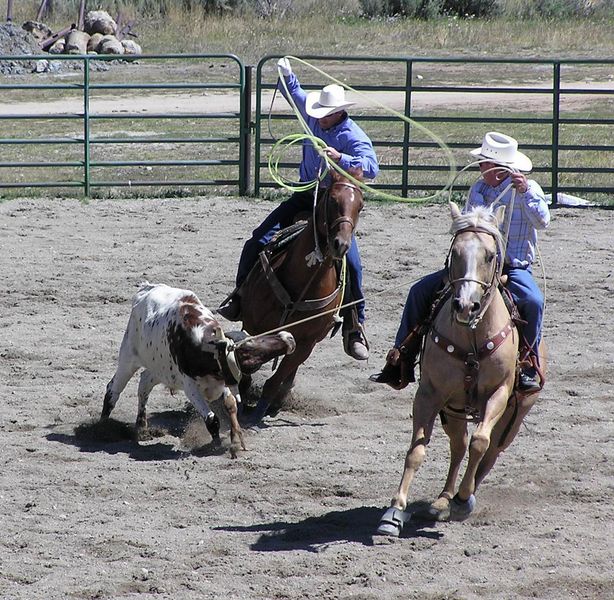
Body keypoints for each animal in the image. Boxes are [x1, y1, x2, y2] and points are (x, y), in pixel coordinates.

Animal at [103, 284, 296, 458]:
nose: (288, 337)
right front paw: (217, 445)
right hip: (128, 358)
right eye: (249, 347)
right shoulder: (190, 387)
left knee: (143, 385)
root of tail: (145, 289)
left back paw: (142, 428)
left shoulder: (222, 380)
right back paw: (103, 427)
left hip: (160, 370)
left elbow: (231, 405)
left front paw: (235, 438)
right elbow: (212, 419)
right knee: (113, 390)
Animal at [239, 166, 366, 420]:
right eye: (332, 200)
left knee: (289, 371)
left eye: (360, 206)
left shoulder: (307, 342)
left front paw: (260, 410)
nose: (341, 245)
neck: (302, 282)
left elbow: (278, 376)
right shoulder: (252, 324)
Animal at [378, 200, 548, 536]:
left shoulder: (498, 393)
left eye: (491, 255)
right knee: (458, 447)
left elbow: (480, 443)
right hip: (454, 410)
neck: (471, 336)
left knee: (489, 453)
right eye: (455, 252)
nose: (466, 306)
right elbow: (416, 450)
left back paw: (461, 498)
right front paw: (395, 510)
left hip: (515, 416)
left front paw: (463, 499)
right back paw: (444, 498)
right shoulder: (429, 394)